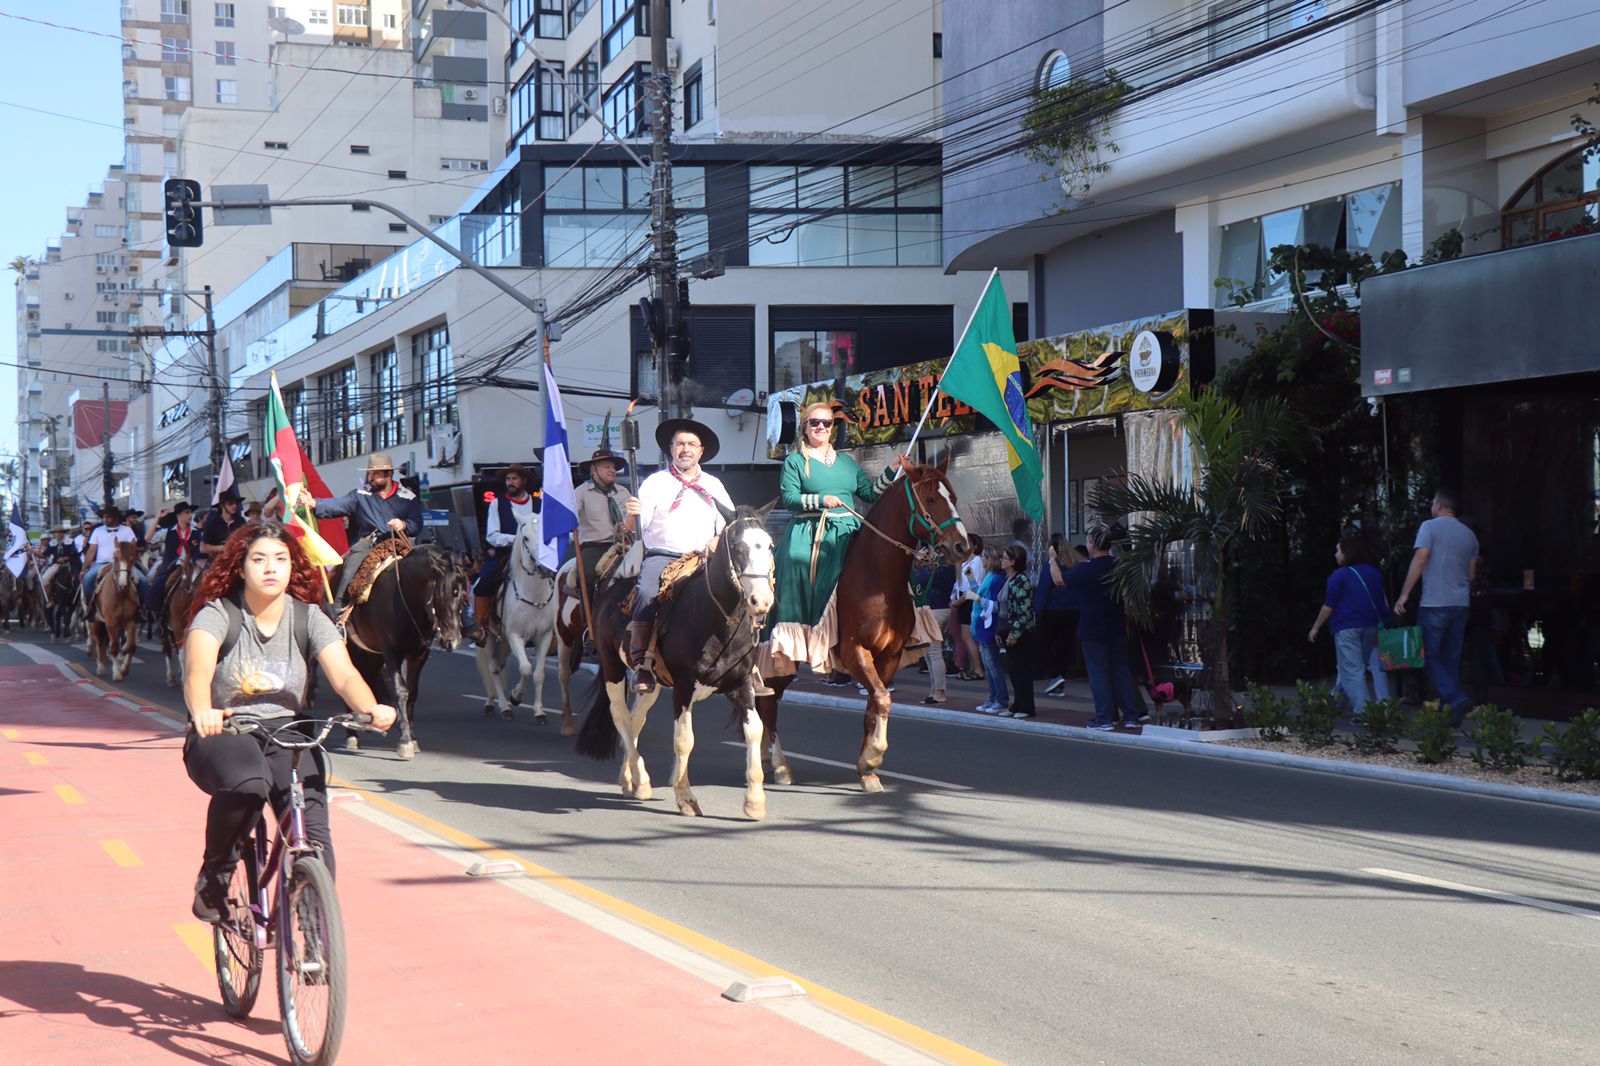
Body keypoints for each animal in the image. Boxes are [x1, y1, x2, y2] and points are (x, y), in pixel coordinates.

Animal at [88, 541, 142, 681]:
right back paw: (101, 667)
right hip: (96, 622)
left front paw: (124, 669)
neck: (120, 594)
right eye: (115, 558)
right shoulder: (111, 623)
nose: (123, 583)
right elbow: (114, 648)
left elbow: (131, 646)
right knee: (99, 642)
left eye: (132, 559)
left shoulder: (130, 622)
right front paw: (117, 673)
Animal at [347, 541, 470, 755]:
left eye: (463, 595)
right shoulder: (391, 652)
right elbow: (401, 690)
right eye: (443, 594)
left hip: (371, 653)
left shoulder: (419, 655)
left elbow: (412, 693)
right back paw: (352, 734)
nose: (453, 641)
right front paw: (404, 739)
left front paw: (412, 737)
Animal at [473, 512, 563, 726]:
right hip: (490, 639)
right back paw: (501, 706)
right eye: (526, 538)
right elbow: (526, 668)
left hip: (503, 643)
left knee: (500, 666)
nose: (544, 567)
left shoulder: (544, 637)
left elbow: (538, 674)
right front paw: (515, 696)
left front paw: (539, 712)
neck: (534, 595)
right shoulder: (515, 636)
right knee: (494, 669)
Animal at [579, 502, 777, 816]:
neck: (718, 620)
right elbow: (685, 740)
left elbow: (755, 732)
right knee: (621, 716)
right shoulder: (684, 686)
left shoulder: (742, 684)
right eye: (736, 546)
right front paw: (685, 797)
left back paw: (629, 780)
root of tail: (612, 587)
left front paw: (755, 801)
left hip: (651, 682)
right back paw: (642, 781)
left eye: (768, 545)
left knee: (635, 719)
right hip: (612, 666)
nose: (761, 601)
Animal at [755, 451, 966, 793]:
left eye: (954, 497)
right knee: (770, 703)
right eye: (931, 498)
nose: (963, 546)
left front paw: (868, 771)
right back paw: (780, 766)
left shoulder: (889, 655)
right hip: (778, 654)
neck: (876, 577)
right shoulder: (855, 651)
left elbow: (876, 704)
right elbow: (881, 698)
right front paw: (873, 757)